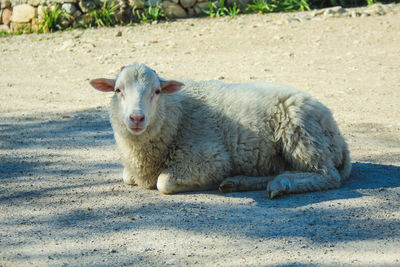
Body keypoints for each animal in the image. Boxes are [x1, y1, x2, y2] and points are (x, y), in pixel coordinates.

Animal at [90, 63, 350, 199]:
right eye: (117, 90)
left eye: (156, 91)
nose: (136, 118)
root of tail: (340, 140)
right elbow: (127, 177)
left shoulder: (211, 159)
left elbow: (163, 183)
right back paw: (241, 182)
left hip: (303, 136)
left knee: (328, 176)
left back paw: (281, 184)